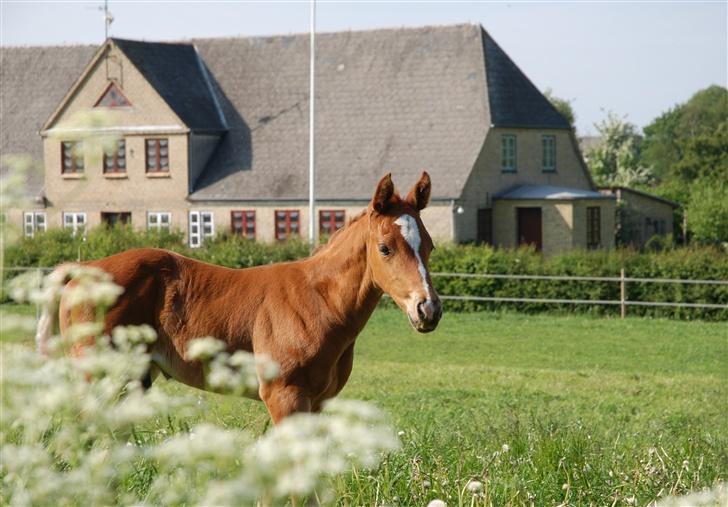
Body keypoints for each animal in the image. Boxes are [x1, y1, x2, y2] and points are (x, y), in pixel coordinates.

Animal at [41, 173, 444, 422]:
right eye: (385, 247)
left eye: (429, 245)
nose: (428, 309)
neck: (318, 302)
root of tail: (82, 269)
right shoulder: (284, 397)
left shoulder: (318, 402)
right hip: (96, 375)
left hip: (131, 379)